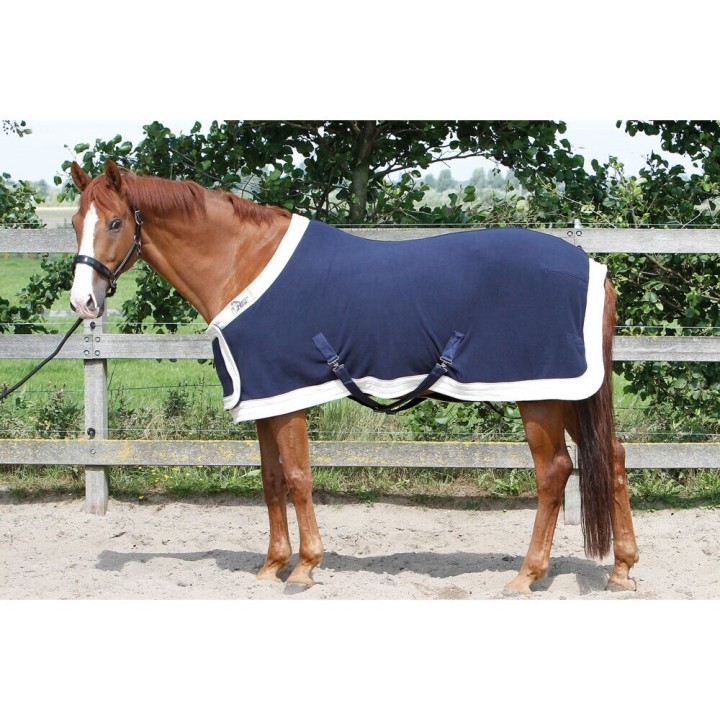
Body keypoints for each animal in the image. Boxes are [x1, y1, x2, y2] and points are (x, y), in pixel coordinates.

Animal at [68, 159, 639, 595]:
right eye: (75, 222)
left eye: (115, 223)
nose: (83, 303)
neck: (243, 262)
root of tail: (594, 269)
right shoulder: (266, 399)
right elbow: (271, 480)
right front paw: (272, 565)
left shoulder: (288, 396)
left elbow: (299, 478)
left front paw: (304, 569)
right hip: (569, 392)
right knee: (611, 456)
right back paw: (621, 570)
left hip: (540, 396)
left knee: (554, 472)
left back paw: (527, 575)